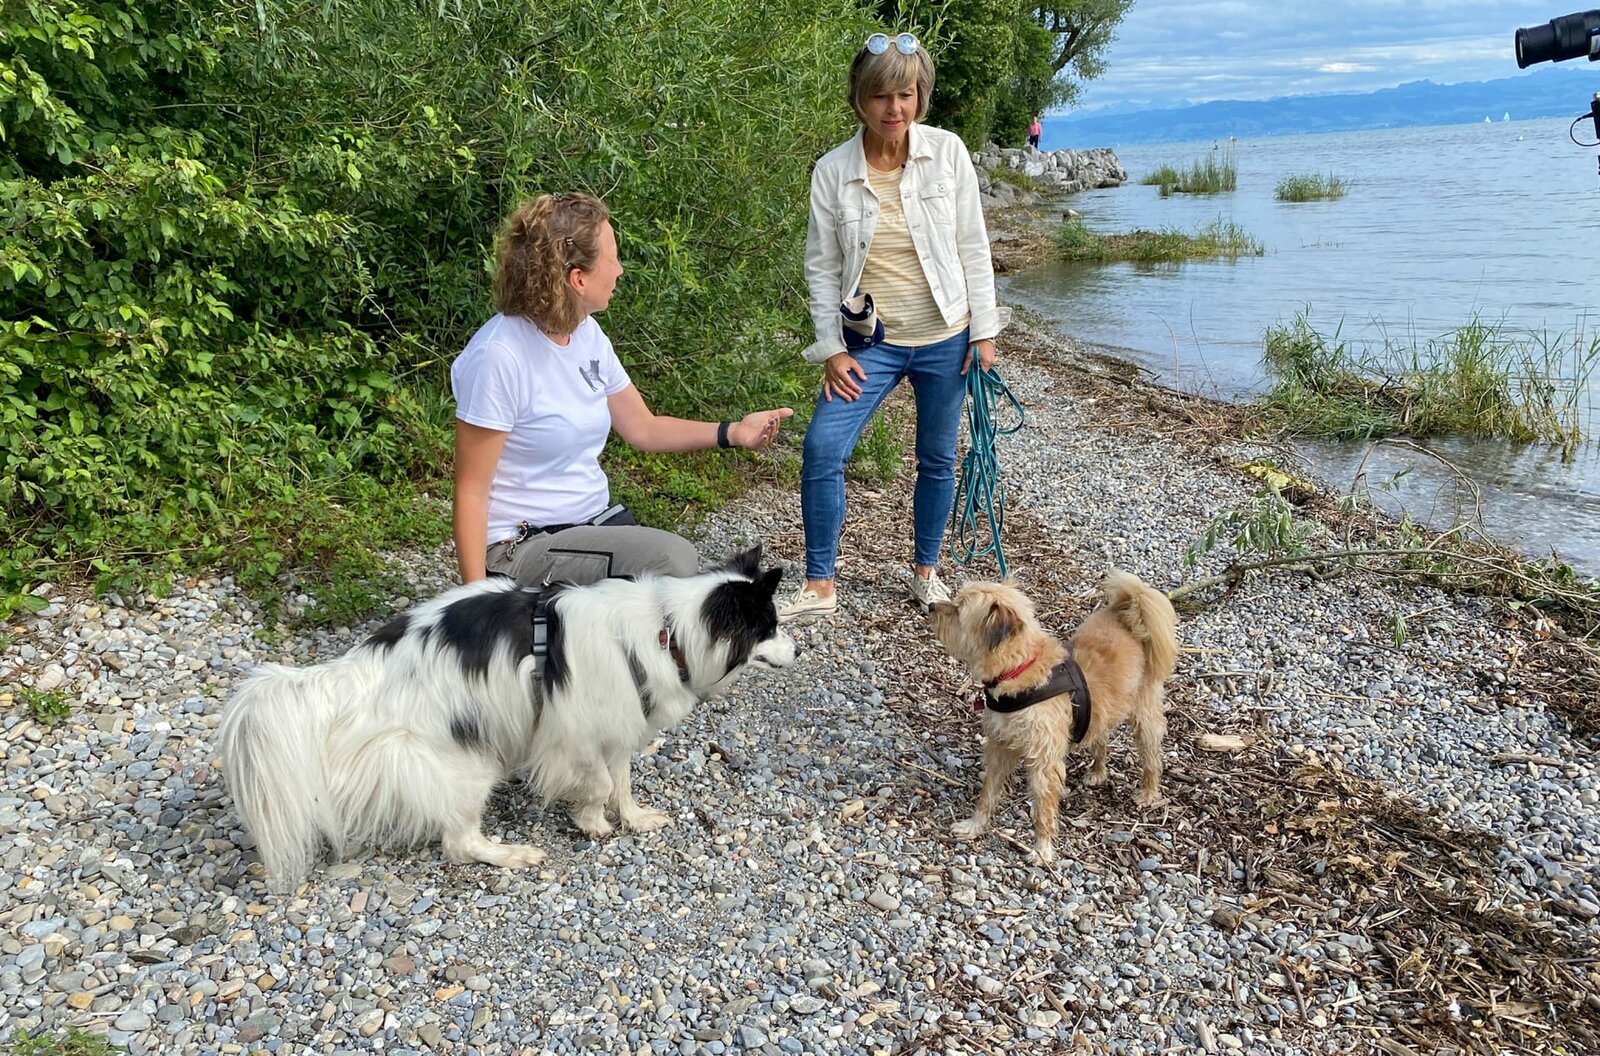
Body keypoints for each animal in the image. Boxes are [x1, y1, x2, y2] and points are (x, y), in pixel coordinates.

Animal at [217, 546, 795, 890]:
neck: (667, 629)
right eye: (769, 626)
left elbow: (622, 781)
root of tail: (348, 676)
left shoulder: (619, 719)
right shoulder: (573, 733)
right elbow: (597, 783)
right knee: (458, 843)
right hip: (468, 764)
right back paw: (514, 855)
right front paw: (592, 823)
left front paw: (633, 819)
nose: (798, 650)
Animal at [929, 570, 1177, 864]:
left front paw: (1042, 849)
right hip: (1101, 712)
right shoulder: (999, 747)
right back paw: (1097, 772)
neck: (1020, 669)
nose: (931, 606)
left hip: (1144, 715)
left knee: (1152, 757)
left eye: (959, 610)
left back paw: (1148, 792)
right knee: (1101, 739)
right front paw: (974, 825)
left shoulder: (1044, 763)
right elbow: (988, 792)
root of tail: (1129, 611)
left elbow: (1043, 809)